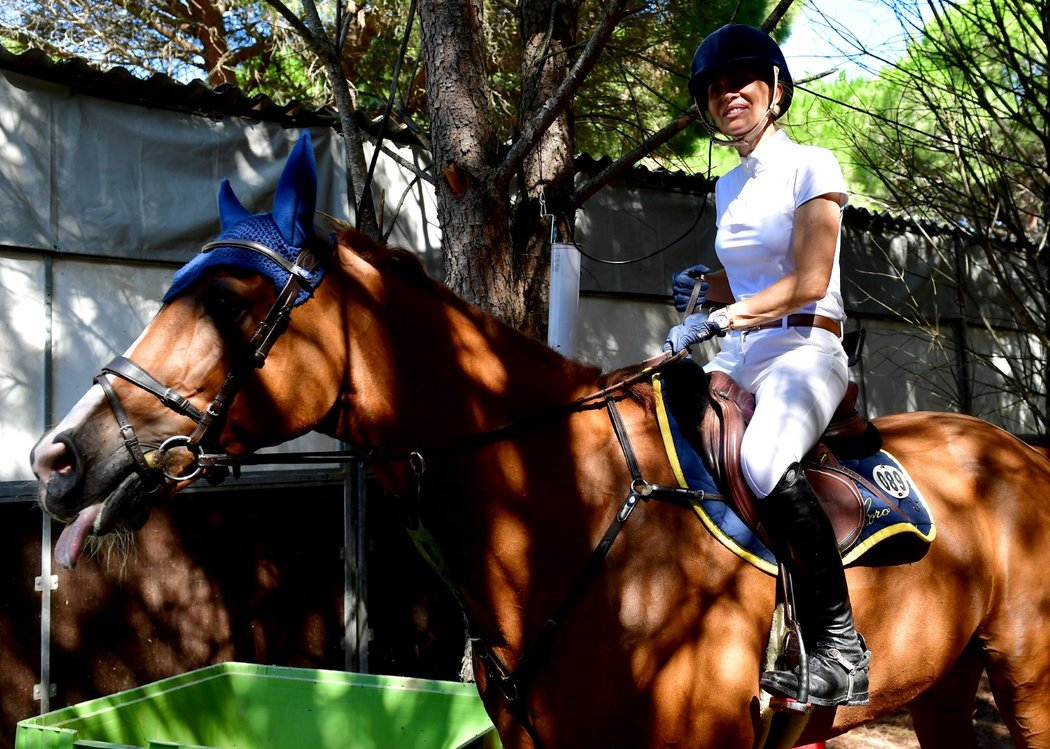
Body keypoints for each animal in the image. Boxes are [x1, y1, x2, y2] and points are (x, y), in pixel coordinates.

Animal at [28, 135, 1050, 747]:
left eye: (232, 302)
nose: (57, 459)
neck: (560, 500)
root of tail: (1021, 452)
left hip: (1026, 676)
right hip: (949, 683)